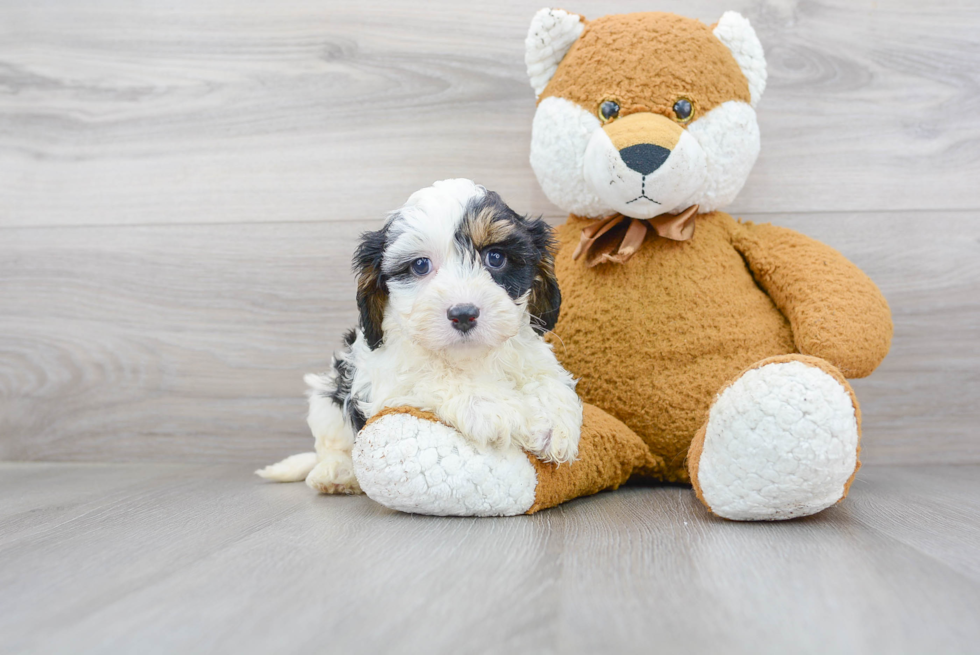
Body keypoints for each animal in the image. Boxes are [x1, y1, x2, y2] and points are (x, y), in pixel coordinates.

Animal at [256, 177, 584, 494]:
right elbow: (429, 375)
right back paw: (337, 473)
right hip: (327, 396)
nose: (463, 313)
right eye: (420, 265)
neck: (469, 356)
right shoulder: (382, 373)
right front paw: (494, 408)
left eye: (495, 257)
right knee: (332, 444)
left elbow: (547, 378)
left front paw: (553, 424)